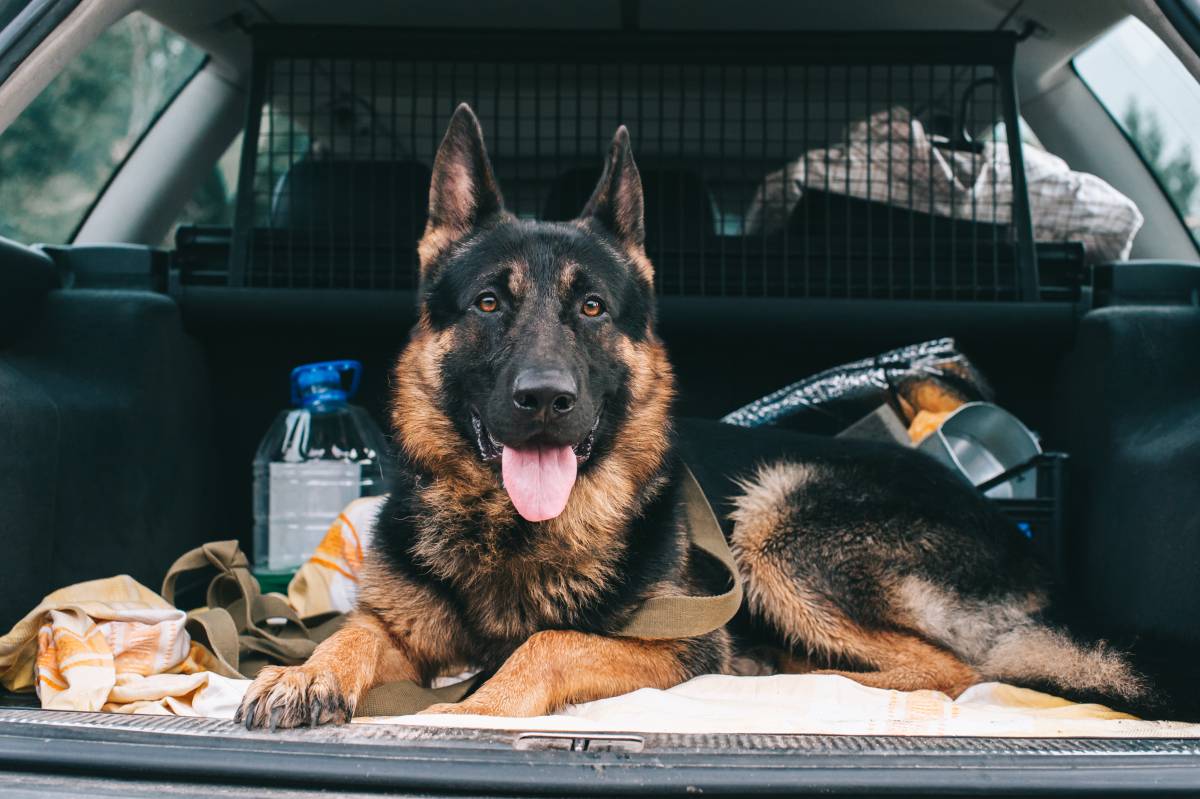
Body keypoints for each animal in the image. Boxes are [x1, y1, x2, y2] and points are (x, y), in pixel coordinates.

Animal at [236, 102, 1142, 724]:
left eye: (593, 308)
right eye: (490, 302)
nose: (545, 399)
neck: (516, 533)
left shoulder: (670, 641)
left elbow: (548, 642)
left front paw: (474, 707)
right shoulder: (400, 626)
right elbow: (352, 632)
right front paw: (305, 671)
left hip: (778, 517)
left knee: (951, 667)